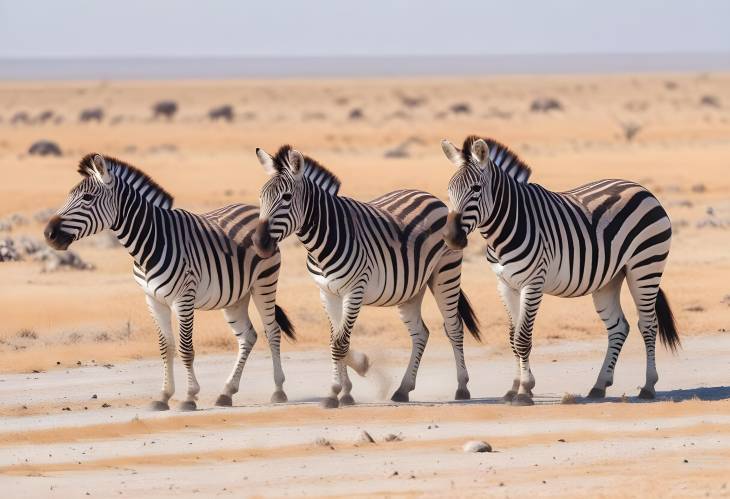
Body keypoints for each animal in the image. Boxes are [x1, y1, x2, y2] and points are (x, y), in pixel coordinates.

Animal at [44, 154, 294, 412]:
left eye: (87, 198)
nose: (49, 234)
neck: (150, 243)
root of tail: (255, 209)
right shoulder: (153, 300)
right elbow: (166, 347)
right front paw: (164, 396)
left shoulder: (184, 298)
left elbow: (185, 348)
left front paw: (189, 397)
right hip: (235, 295)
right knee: (247, 336)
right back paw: (226, 392)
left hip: (264, 282)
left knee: (272, 331)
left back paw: (278, 390)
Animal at [250, 146, 478, 410]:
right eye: (261, 196)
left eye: (286, 197)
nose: (259, 243)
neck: (323, 241)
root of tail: (430, 197)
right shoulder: (327, 293)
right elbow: (335, 339)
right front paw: (347, 390)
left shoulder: (354, 290)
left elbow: (340, 342)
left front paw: (334, 392)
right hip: (411, 288)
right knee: (421, 333)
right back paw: (403, 389)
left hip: (445, 272)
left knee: (454, 327)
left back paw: (462, 387)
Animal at [438, 136, 676, 406]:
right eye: (449, 190)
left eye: (476, 189)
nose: (451, 238)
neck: (507, 226)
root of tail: (641, 189)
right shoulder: (506, 285)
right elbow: (512, 338)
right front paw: (514, 388)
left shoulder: (533, 283)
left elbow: (522, 339)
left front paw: (524, 391)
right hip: (610, 279)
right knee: (618, 327)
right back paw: (599, 385)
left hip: (645, 266)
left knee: (648, 324)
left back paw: (648, 386)